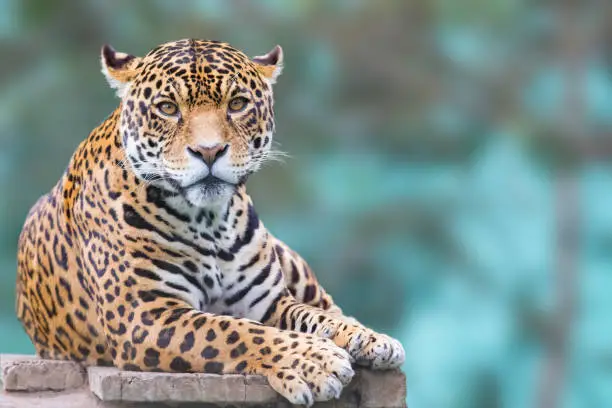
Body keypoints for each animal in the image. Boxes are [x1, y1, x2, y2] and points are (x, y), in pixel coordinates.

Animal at [14, 37, 404, 404]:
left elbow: (312, 317)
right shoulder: (144, 315)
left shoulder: (269, 302)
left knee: (327, 305)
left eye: (237, 104)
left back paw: (367, 335)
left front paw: (361, 338)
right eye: (168, 108)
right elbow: (234, 331)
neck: (209, 220)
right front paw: (316, 359)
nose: (209, 151)